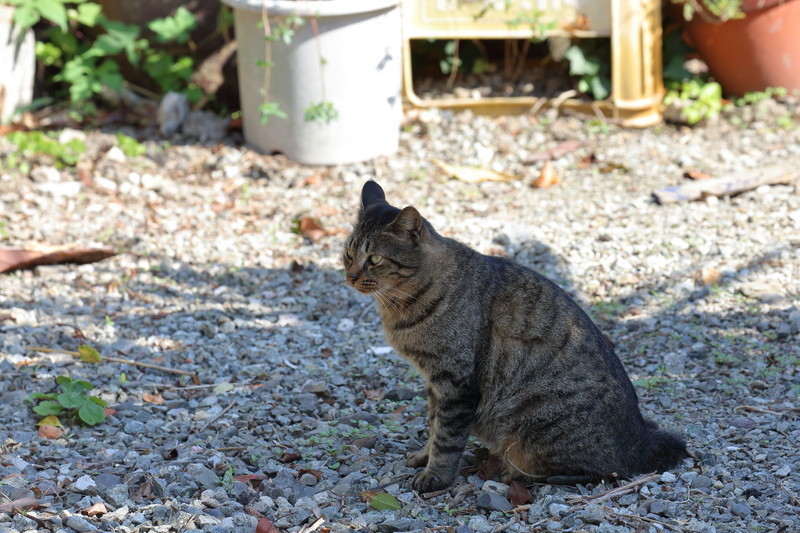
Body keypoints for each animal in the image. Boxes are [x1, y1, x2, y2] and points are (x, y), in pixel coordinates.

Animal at [344, 180, 688, 490]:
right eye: (348, 253)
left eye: (375, 259)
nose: (350, 276)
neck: (402, 304)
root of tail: (641, 441)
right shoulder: (434, 383)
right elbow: (433, 424)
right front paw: (423, 457)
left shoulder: (456, 383)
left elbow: (447, 437)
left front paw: (436, 476)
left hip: (537, 419)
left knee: (604, 472)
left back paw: (523, 474)